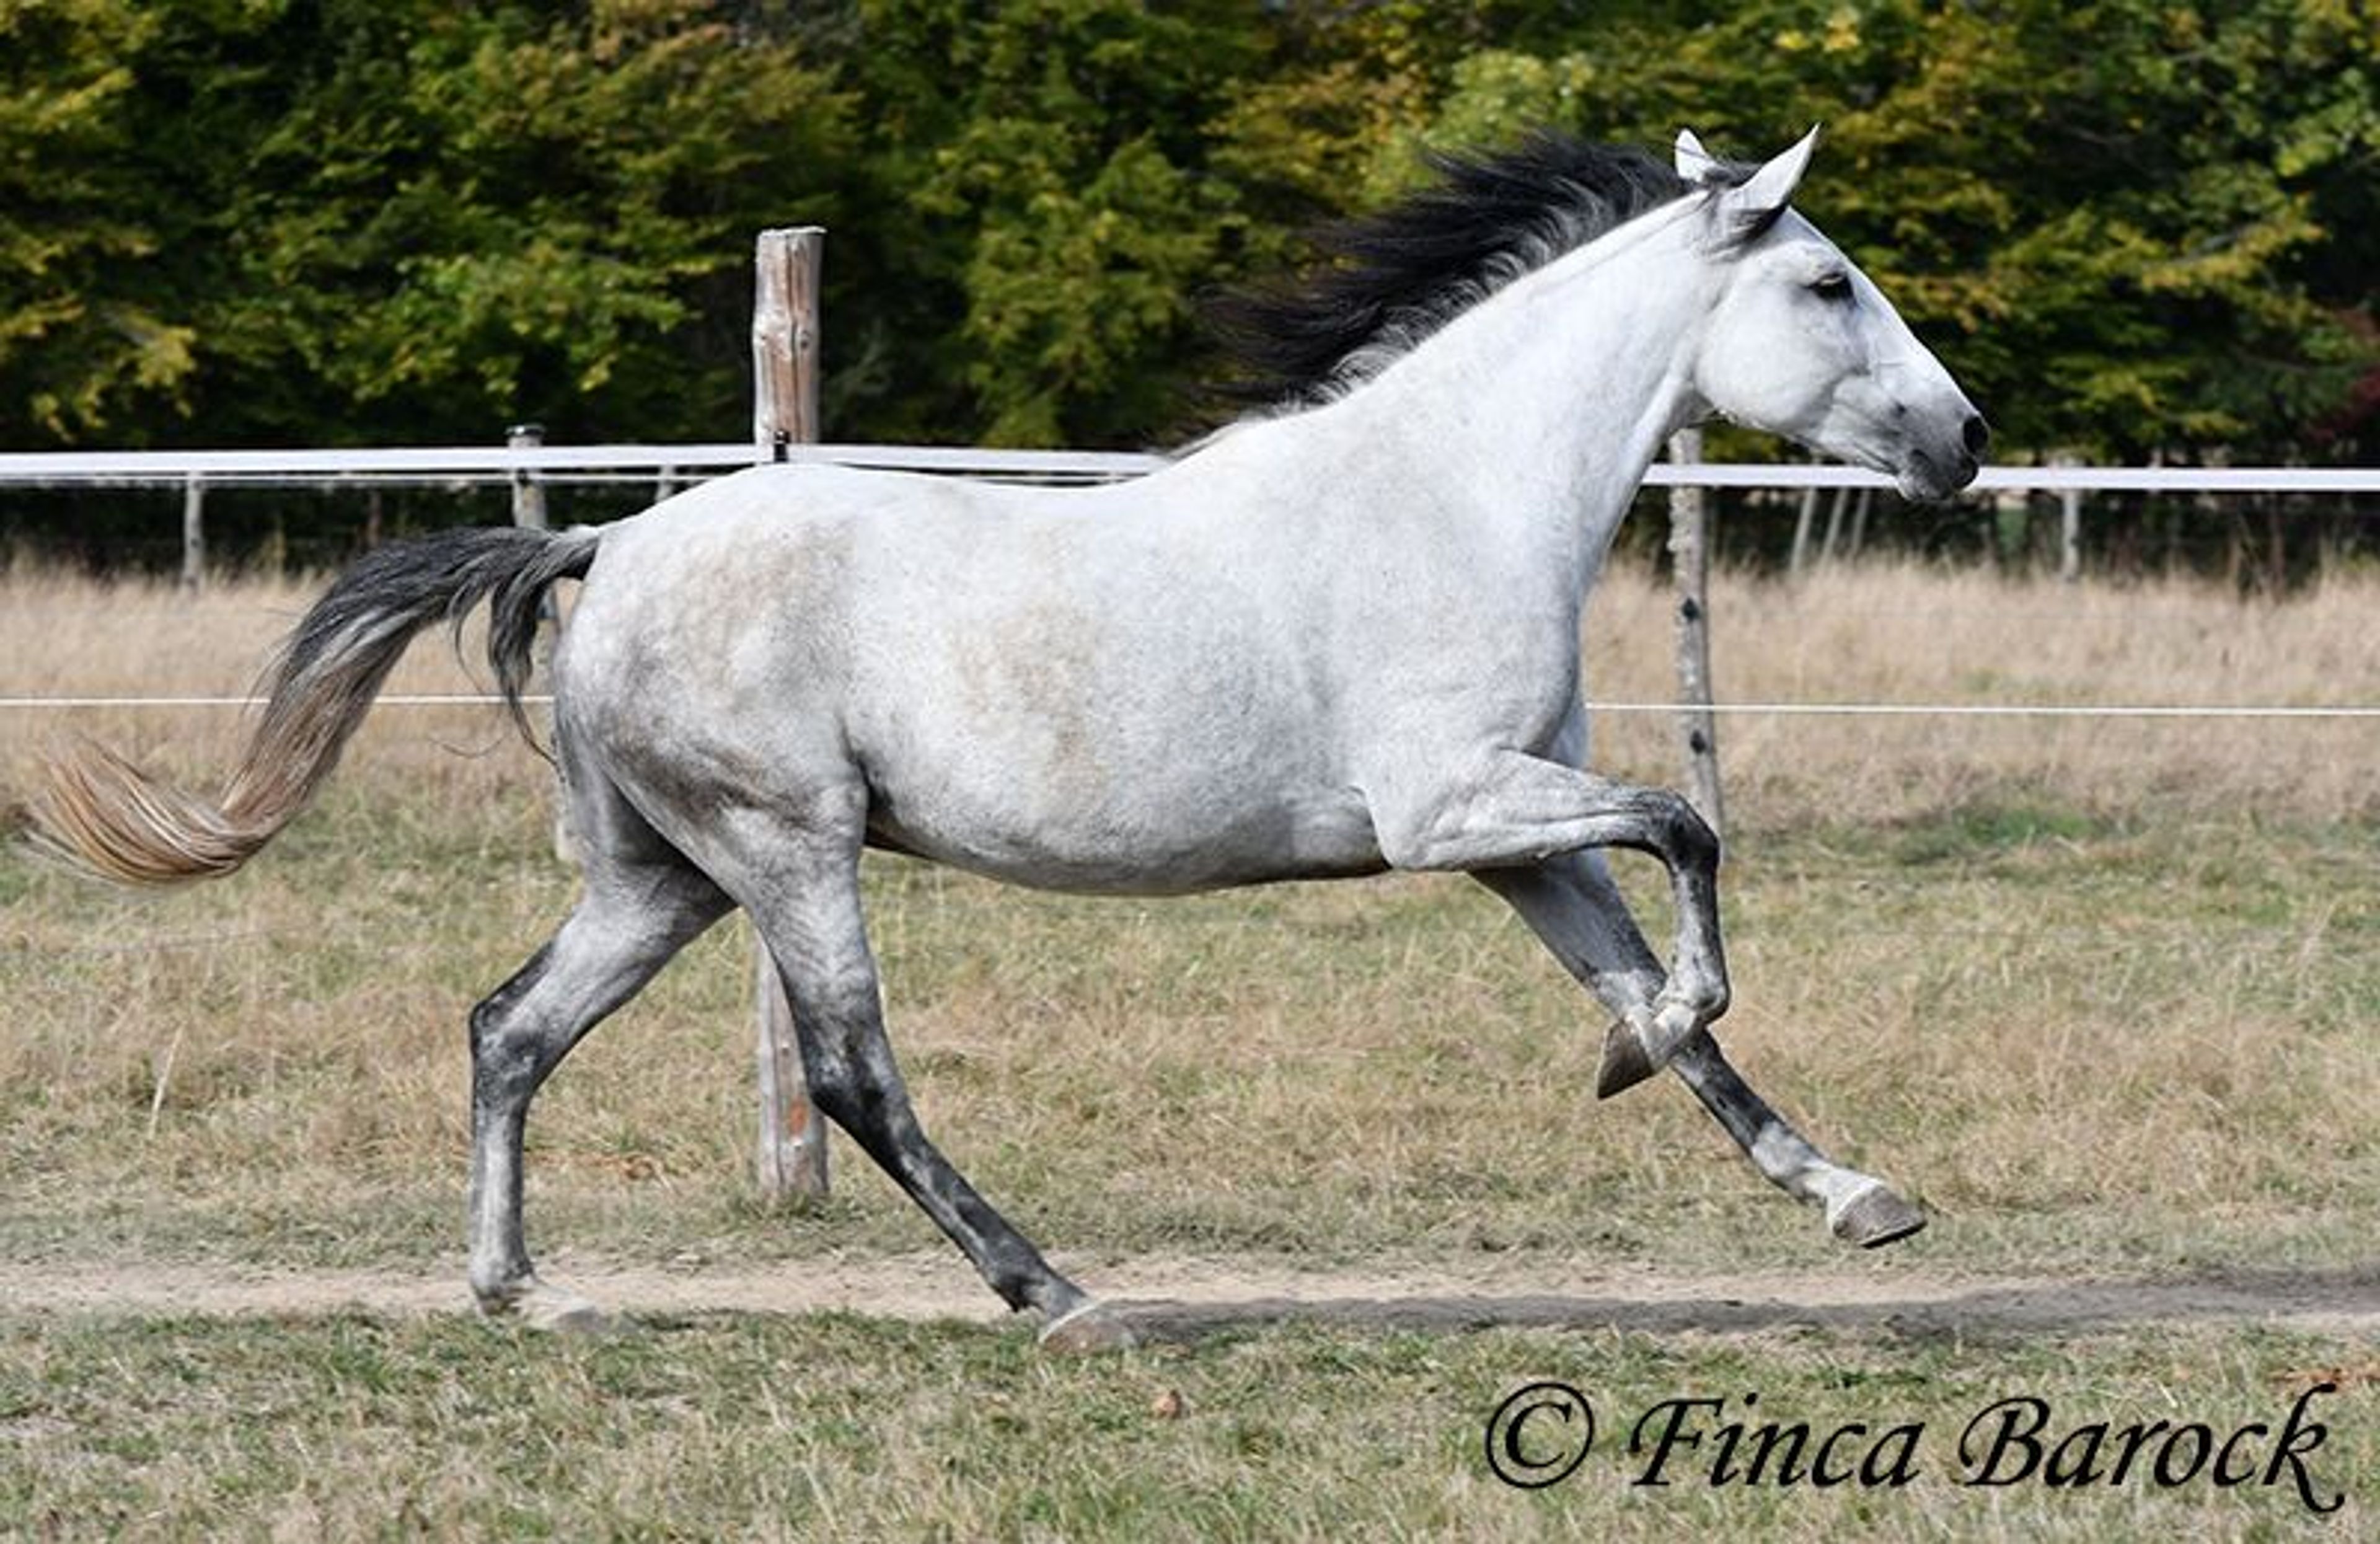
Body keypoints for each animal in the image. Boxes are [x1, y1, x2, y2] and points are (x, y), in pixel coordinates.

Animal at [32, 128, 1986, 1350]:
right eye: (1828, 285)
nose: (1962, 439)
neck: (1451, 497)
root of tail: (607, 544)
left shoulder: (1510, 841)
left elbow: (1665, 979)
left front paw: (1844, 1189)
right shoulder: (1452, 811)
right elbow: (1691, 836)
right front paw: (1649, 1063)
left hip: (667, 876)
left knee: (508, 1029)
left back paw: (524, 1293)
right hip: (789, 851)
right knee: (848, 1076)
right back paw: (1052, 1291)